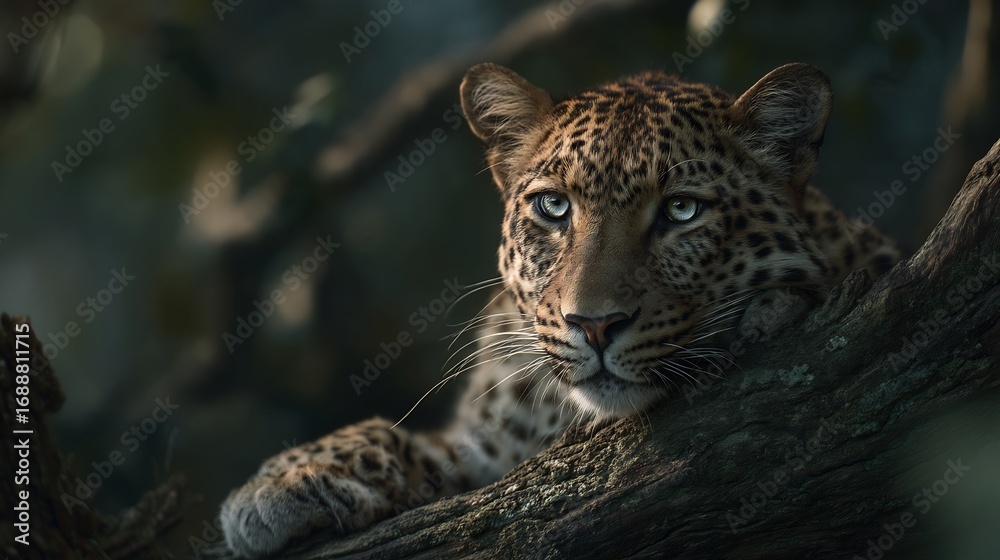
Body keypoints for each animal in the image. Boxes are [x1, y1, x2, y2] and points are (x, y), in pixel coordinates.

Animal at [219, 62, 901, 557]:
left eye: (682, 211)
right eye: (553, 207)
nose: (594, 324)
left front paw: (765, 315)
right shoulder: (485, 452)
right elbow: (393, 436)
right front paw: (278, 485)